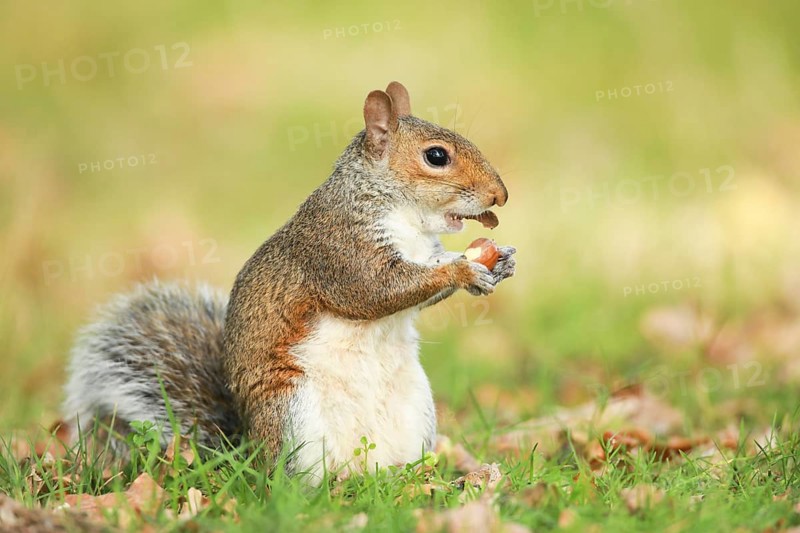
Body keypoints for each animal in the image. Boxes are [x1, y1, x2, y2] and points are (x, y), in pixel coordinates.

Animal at [63, 81, 516, 482]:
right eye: (436, 156)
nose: (500, 195)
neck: (403, 214)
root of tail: (247, 449)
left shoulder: (424, 250)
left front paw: (498, 264)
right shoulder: (339, 251)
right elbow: (375, 291)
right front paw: (463, 271)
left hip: (416, 409)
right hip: (291, 413)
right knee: (292, 482)